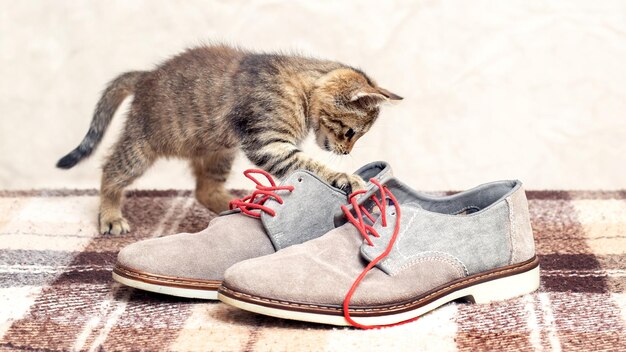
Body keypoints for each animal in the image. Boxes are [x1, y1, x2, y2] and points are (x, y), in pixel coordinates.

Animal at [57, 45, 400, 235]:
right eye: (351, 133)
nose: (346, 151)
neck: (301, 89)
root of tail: (145, 76)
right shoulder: (268, 143)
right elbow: (309, 164)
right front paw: (344, 176)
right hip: (142, 146)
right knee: (111, 170)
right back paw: (110, 216)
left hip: (219, 151)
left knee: (204, 190)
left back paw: (237, 205)